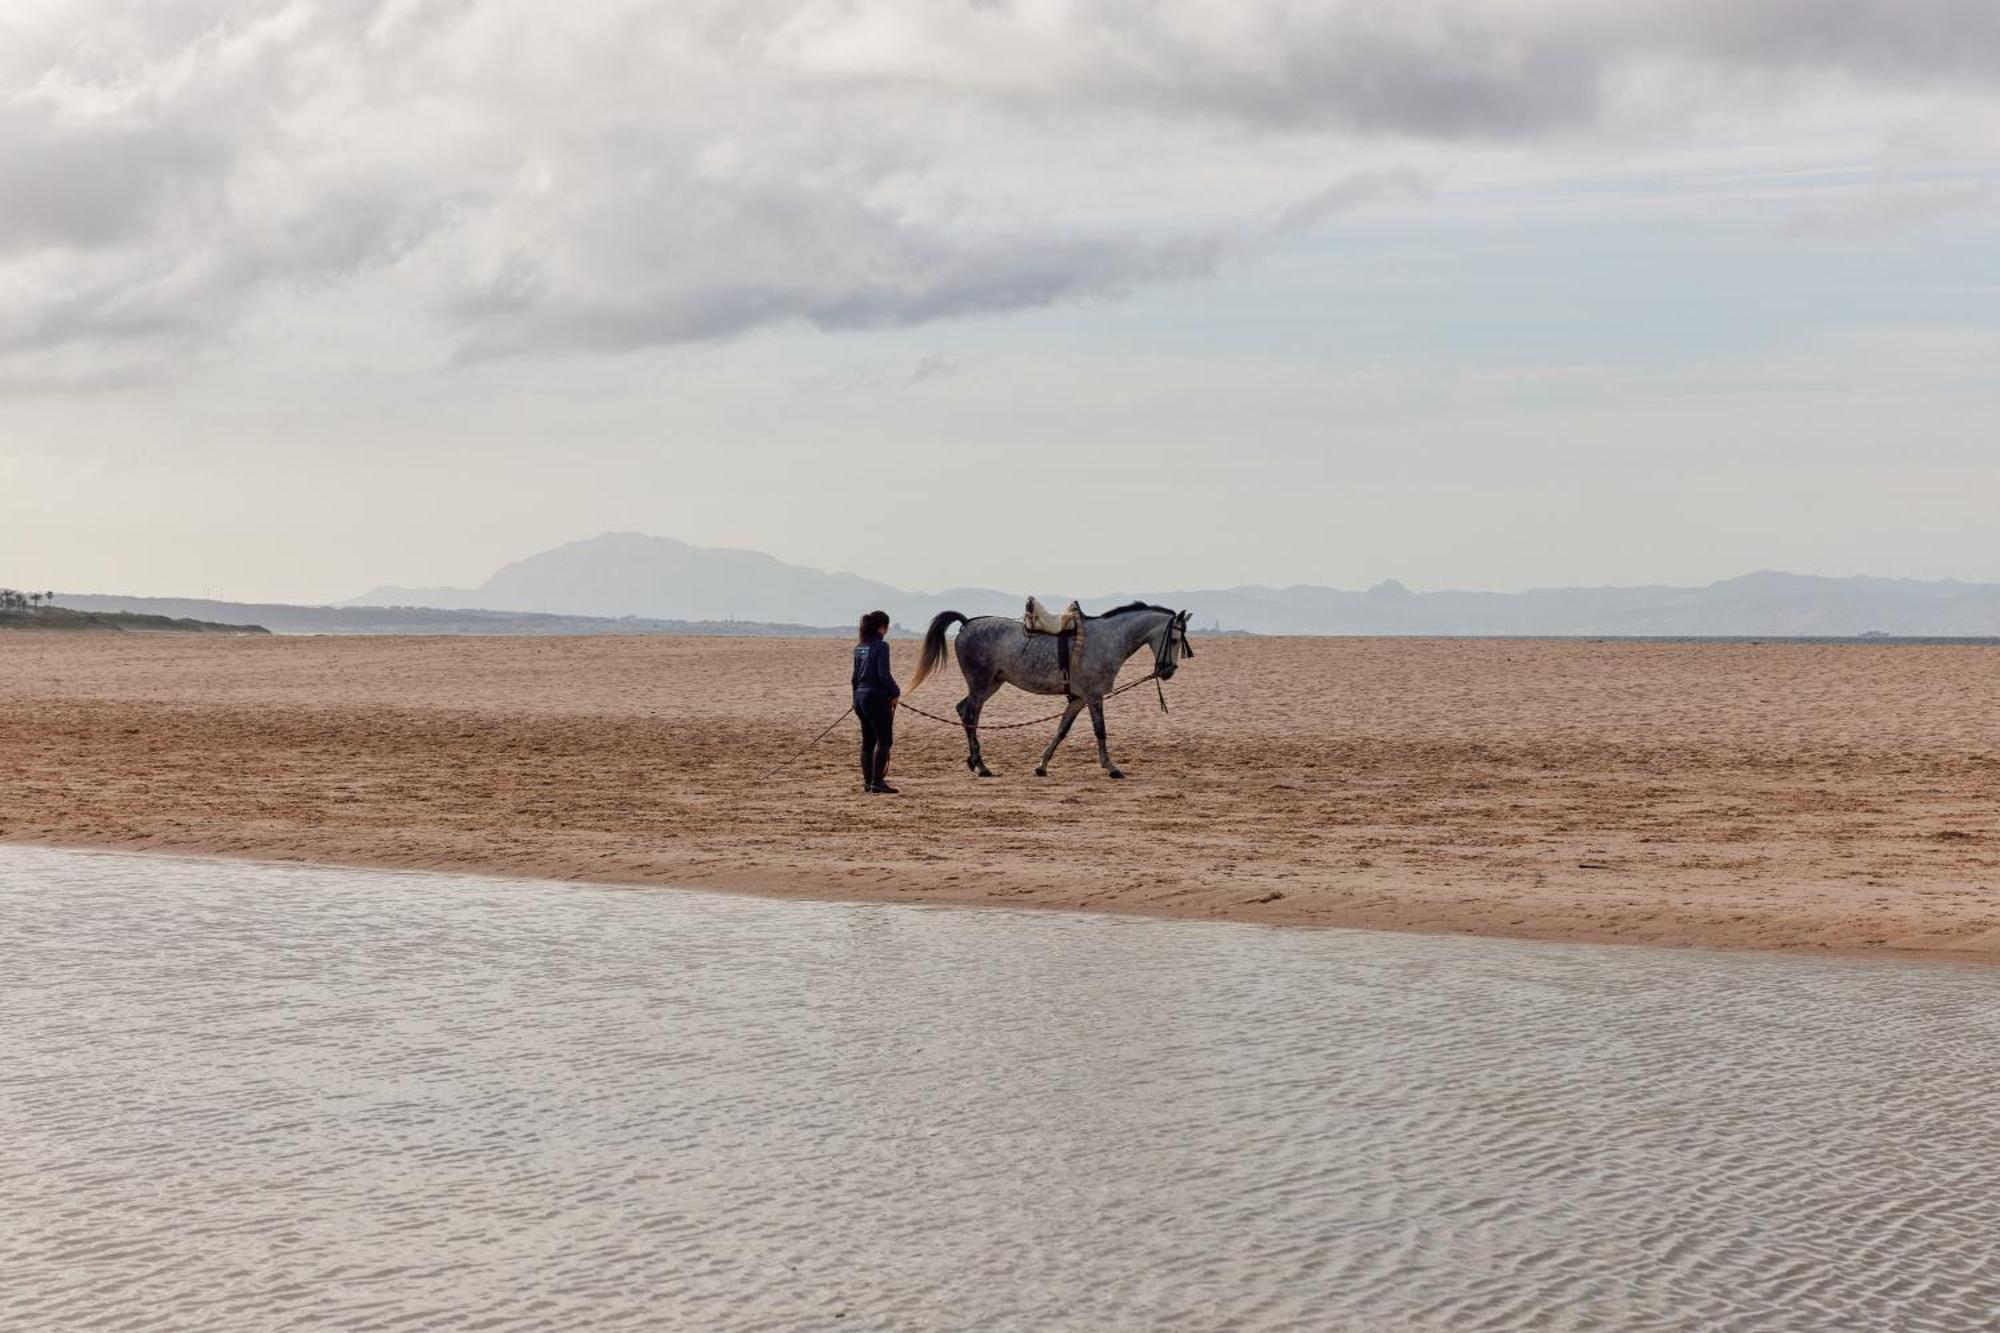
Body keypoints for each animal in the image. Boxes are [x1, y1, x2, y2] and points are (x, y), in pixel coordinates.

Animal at [912, 600, 1200, 772]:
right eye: (1175, 639)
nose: (1167, 671)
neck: (1109, 638)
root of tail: (967, 623)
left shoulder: (1078, 698)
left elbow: (1062, 730)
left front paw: (1042, 764)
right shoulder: (1094, 696)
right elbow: (1100, 731)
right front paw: (1111, 767)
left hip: (991, 683)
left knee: (965, 711)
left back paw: (974, 762)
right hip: (981, 683)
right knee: (970, 714)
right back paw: (982, 766)